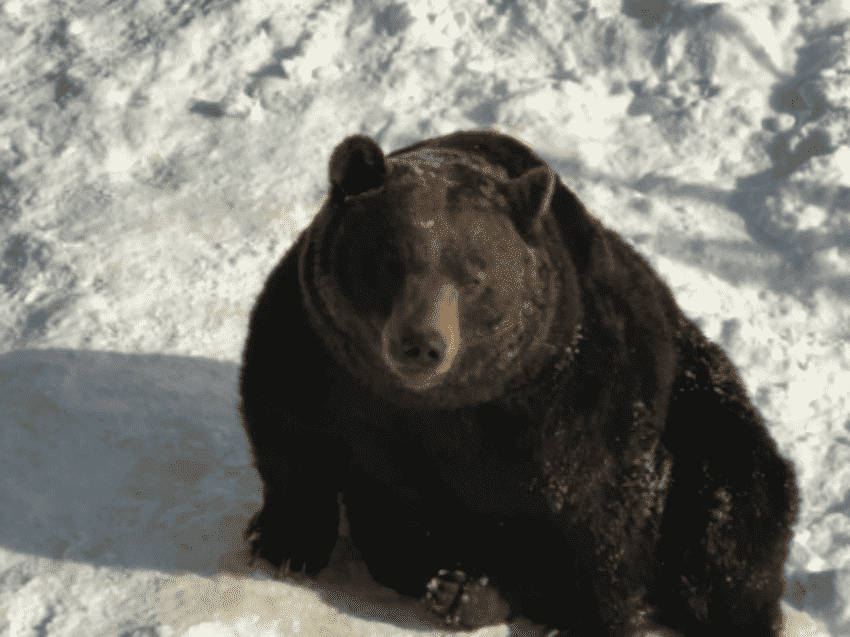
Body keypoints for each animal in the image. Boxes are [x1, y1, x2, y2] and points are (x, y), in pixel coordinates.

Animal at [237, 130, 796, 636]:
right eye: (391, 260)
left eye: (475, 276)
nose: (422, 343)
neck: (435, 402)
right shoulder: (319, 356)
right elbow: (287, 433)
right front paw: (285, 545)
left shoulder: (564, 399)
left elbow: (601, 511)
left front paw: (595, 617)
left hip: (706, 412)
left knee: (732, 515)